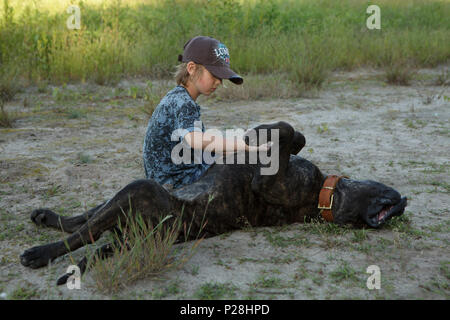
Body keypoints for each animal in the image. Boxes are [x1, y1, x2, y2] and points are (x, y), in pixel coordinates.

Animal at [20, 120, 408, 284]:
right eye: (390, 210)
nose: (403, 203)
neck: (321, 198)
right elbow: (294, 136)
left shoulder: (270, 180)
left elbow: (285, 131)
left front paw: (262, 132)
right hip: (119, 214)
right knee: (85, 224)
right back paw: (46, 217)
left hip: (139, 191)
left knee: (83, 235)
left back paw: (40, 254)